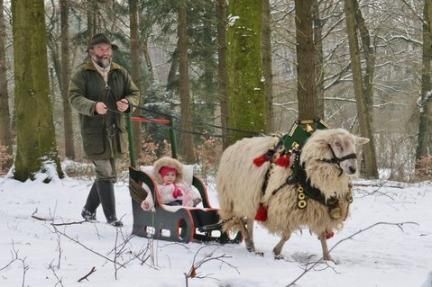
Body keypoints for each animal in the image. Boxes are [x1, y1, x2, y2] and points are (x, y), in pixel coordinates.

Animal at [216, 128, 368, 260]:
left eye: (354, 144)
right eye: (337, 143)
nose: (353, 169)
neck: (307, 173)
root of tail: (233, 146)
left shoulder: (320, 211)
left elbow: (322, 236)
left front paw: (327, 258)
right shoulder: (285, 210)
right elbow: (287, 235)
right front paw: (276, 251)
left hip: (250, 199)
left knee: (249, 219)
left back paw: (251, 244)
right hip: (233, 197)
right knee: (239, 219)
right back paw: (248, 240)